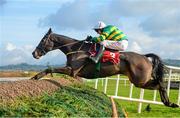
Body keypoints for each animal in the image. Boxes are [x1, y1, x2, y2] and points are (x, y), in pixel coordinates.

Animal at [31, 28, 179, 108]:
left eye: (43, 40)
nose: (34, 53)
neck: (75, 48)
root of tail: (145, 57)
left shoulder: (72, 71)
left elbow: (50, 69)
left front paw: (35, 77)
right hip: (139, 81)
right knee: (160, 84)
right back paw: (169, 103)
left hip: (140, 81)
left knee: (161, 84)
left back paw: (169, 102)